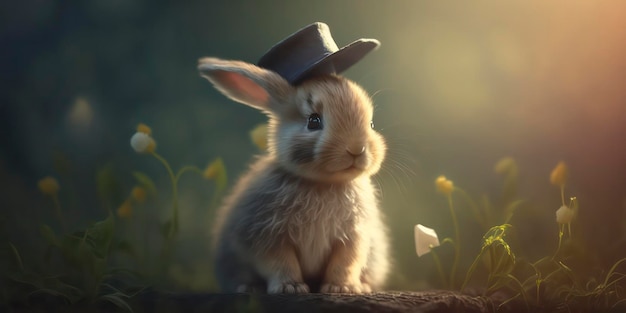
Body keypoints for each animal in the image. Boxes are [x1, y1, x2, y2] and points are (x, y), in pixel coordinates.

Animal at [199, 22, 386, 292]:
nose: (356, 149)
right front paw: (291, 287)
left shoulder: (354, 238)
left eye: (371, 124)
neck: (323, 184)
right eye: (313, 121)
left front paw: (342, 288)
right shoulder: (267, 237)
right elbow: (281, 263)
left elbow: (345, 263)